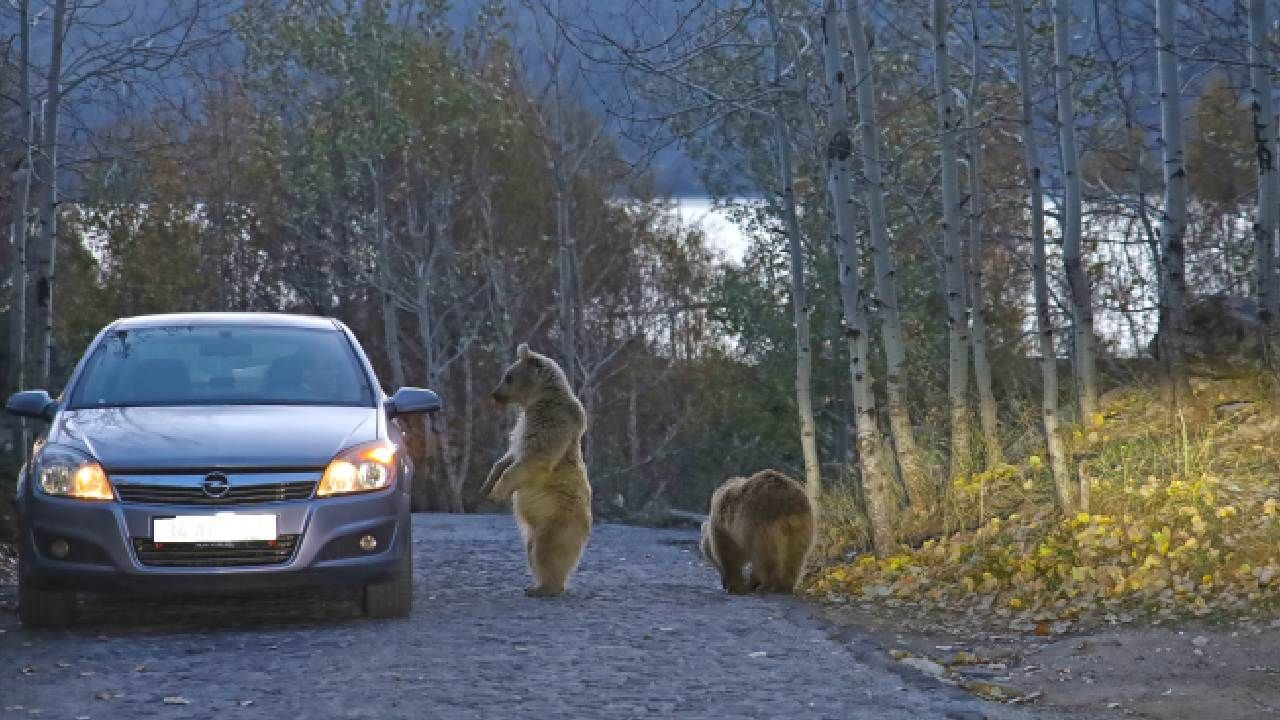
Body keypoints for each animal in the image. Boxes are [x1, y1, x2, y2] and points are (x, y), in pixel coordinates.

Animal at [481, 340, 591, 594]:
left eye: (508, 376)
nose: (494, 394)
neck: (539, 400)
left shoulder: (551, 422)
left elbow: (532, 459)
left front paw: (496, 494)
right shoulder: (523, 427)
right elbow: (508, 457)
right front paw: (487, 484)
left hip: (557, 519)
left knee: (546, 550)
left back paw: (545, 587)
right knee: (531, 549)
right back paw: (536, 584)